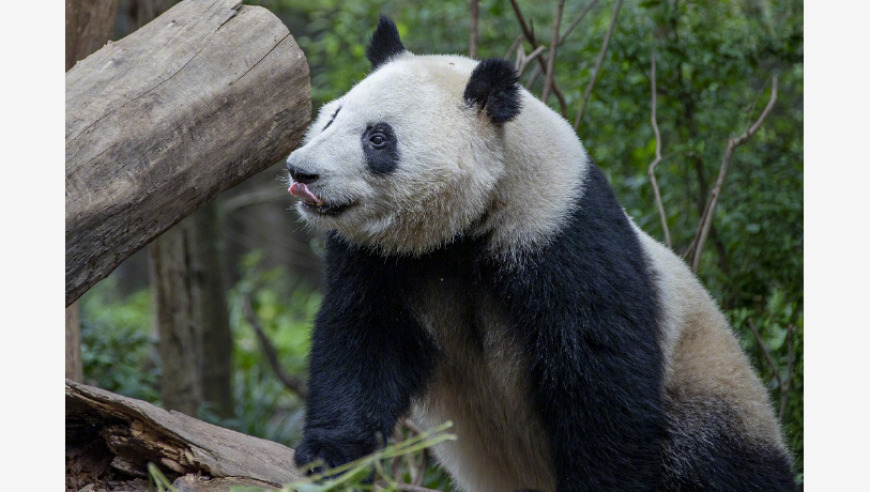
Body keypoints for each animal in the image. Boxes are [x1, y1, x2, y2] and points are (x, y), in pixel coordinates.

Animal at [288, 15, 796, 492]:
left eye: (378, 138)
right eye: (332, 117)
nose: (301, 172)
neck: (468, 225)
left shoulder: (560, 232)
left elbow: (599, 377)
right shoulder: (381, 257)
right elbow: (362, 341)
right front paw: (329, 457)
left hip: (712, 397)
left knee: (717, 464)